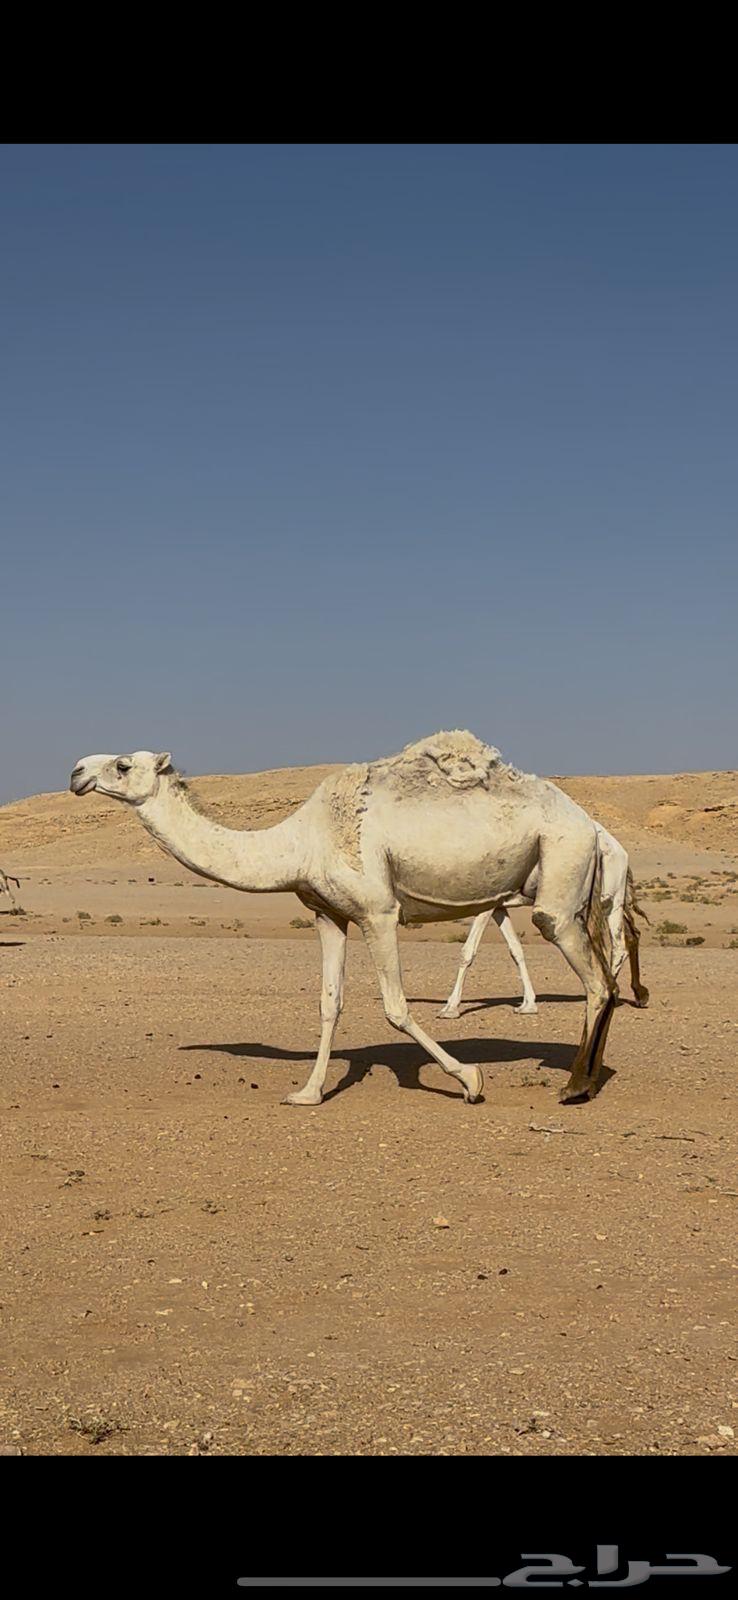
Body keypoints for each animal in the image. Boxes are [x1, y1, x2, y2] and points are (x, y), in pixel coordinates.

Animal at [70, 732, 619, 1107]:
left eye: (122, 764)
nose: (76, 771)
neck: (299, 842)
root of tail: (591, 824)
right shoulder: (328, 914)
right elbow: (328, 1002)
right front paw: (308, 1092)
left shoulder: (379, 911)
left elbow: (395, 1007)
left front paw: (470, 1080)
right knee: (607, 981)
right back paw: (588, 1081)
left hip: (561, 868)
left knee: (593, 978)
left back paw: (574, 1086)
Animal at [439, 823, 649, 1019]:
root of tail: (621, 851)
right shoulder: (499, 906)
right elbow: (516, 949)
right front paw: (527, 1005)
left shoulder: (487, 904)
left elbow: (468, 950)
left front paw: (451, 1008)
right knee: (633, 934)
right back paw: (639, 995)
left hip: (612, 900)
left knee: (619, 945)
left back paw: (612, 996)